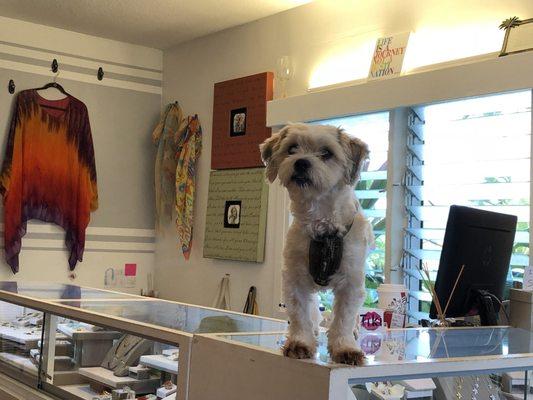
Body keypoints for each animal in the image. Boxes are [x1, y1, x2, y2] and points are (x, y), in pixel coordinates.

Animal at [260, 122, 372, 366]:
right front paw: (300, 342)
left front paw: (345, 347)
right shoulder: (295, 278)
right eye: (292, 148)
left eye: (327, 153)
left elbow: (344, 318)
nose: (301, 162)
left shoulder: (351, 281)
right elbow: (300, 314)